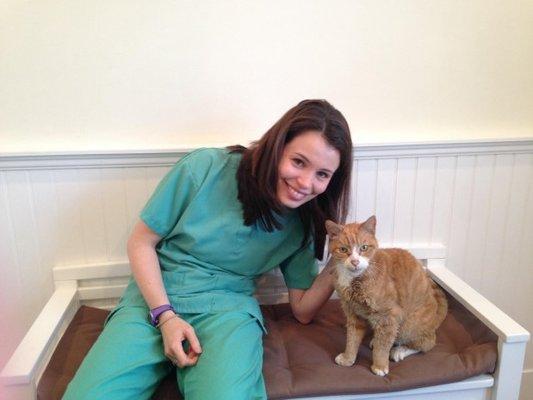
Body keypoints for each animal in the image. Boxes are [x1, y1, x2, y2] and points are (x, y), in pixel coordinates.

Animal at [326, 216, 446, 376]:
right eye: (343, 249)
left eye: (364, 247)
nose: (355, 261)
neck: (356, 279)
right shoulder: (353, 314)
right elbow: (352, 339)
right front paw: (348, 358)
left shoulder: (388, 316)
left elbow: (382, 347)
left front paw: (380, 365)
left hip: (408, 326)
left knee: (426, 343)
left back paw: (399, 350)